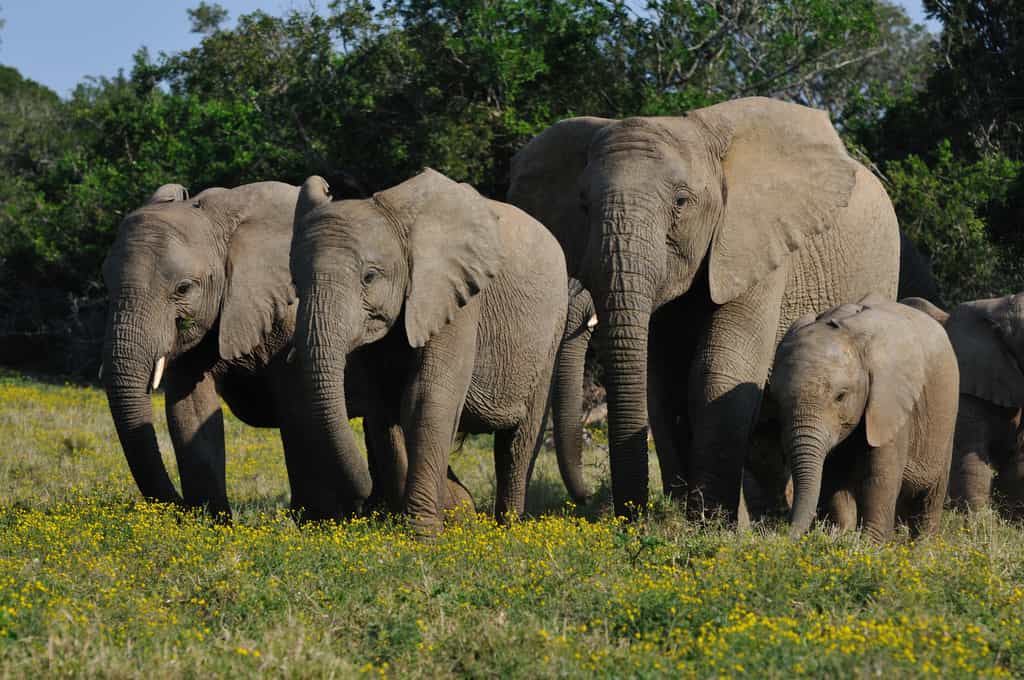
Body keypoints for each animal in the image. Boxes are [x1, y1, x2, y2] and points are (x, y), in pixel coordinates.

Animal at [100, 181, 471, 520]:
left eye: (183, 288)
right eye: (106, 285)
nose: (174, 508)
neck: (221, 221)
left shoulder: (291, 316)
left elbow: (296, 408)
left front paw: (317, 520)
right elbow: (189, 408)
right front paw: (210, 523)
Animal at [290, 169, 577, 532]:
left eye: (369, 277)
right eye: (295, 283)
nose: (359, 501)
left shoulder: (457, 296)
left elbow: (426, 396)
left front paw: (422, 534)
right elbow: (383, 408)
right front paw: (421, 521)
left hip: (551, 329)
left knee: (517, 441)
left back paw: (507, 528)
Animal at [508, 96, 900, 518]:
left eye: (681, 202)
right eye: (583, 205)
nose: (627, 514)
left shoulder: (753, 246)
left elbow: (720, 369)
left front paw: (711, 523)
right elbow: (664, 383)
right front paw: (688, 518)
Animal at [772, 295, 958, 541]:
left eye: (841, 396)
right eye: (777, 401)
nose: (783, 534)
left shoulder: (889, 403)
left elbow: (879, 476)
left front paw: (871, 544)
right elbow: (834, 475)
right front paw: (839, 537)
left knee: (930, 497)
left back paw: (923, 546)